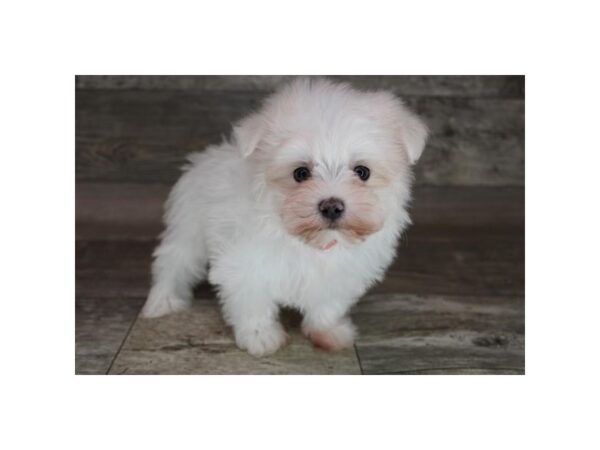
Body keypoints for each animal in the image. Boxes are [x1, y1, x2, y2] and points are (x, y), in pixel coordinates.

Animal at [141, 78, 426, 358]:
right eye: (300, 173)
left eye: (362, 172)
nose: (332, 206)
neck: (311, 242)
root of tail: (205, 156)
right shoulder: (245, 264)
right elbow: (252, 299)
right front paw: (260, 336)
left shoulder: (340, 273)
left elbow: (328, 303)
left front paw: (327, 331)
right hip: (189, 224)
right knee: (174, 261)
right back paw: (163, 301)